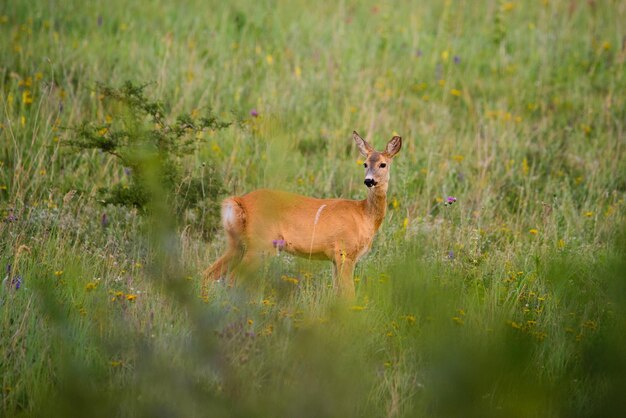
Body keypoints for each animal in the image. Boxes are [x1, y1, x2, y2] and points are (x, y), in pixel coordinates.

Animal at [202, 131, 402, 298]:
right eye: (365, 164)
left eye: (383, 164)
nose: (369, 181)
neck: (364, 215)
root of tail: (239, 201)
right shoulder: (345, 252)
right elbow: (348, 294)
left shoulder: (335, 259)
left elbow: (337, 292)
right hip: (261, 244)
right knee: (232, 279)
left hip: (236, 243)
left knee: (208, 273)